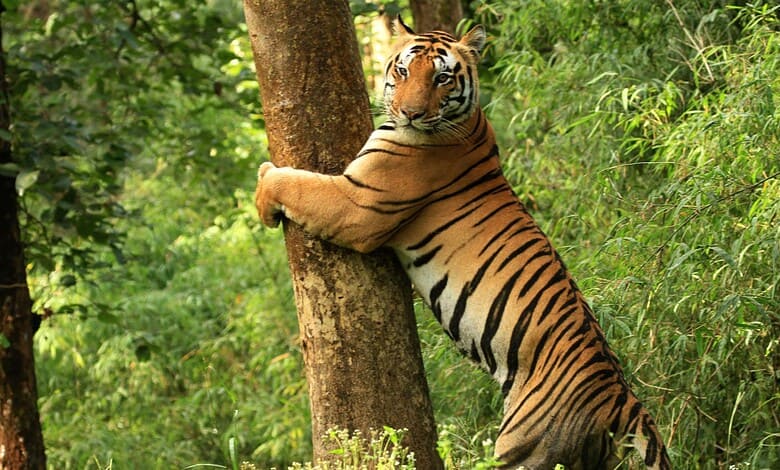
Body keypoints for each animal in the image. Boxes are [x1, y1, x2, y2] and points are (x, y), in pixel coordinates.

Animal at [254, 16, 672, 470]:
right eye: (403, 71)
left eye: (441, 77)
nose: (411, 113)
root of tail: (623, 400)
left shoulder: (357, 204)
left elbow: (296, 184)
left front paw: (262, 191)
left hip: (525, 447)